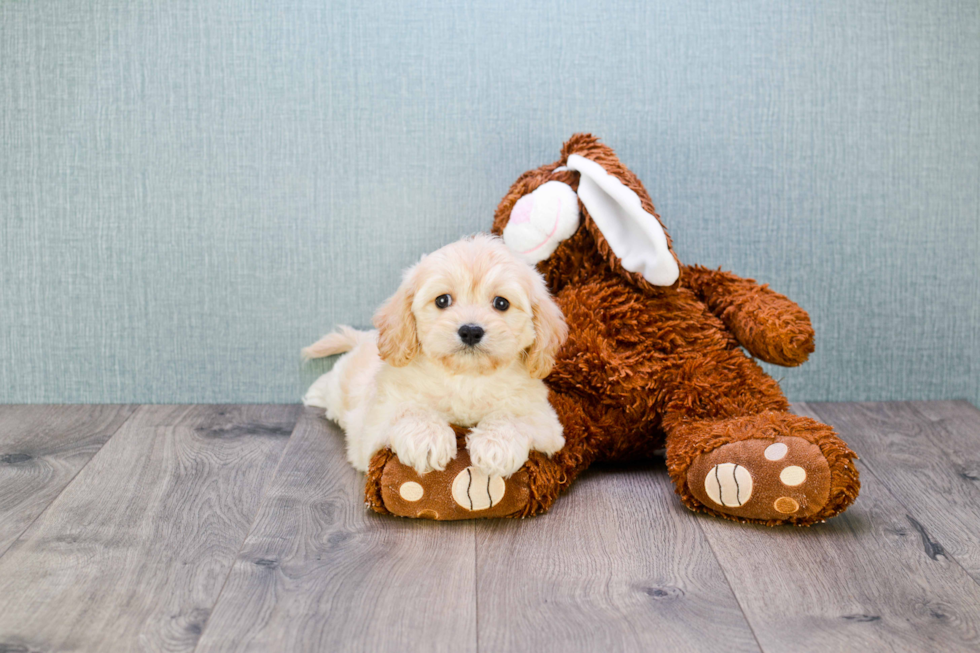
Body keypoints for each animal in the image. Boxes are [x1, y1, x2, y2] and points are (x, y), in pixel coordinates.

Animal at [304, 232, 568, 476]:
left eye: (501, 303)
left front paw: (496, 445)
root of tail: (364, 338)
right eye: (442, 300)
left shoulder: (545, 421)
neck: (466, 378)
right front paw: (428, 437)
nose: (470, 331)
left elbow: (512, 416)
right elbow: (409, 409)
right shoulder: (375, 422)